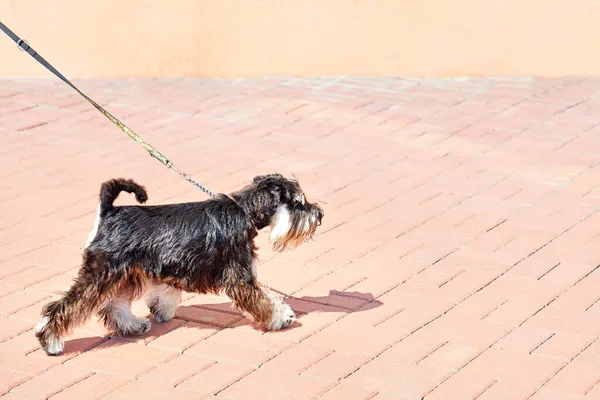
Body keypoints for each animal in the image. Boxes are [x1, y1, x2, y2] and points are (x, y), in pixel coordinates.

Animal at [34, 173, 324, 354]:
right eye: (298, 203)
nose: (319, 214)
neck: (244, 212)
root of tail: (109, 212)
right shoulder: (239, 276)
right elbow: (262, 300)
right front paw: (280, 317)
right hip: (101, 273)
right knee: (64, 306)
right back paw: (49, 340)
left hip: (125, 274)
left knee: (115, 305)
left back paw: (132, 325)